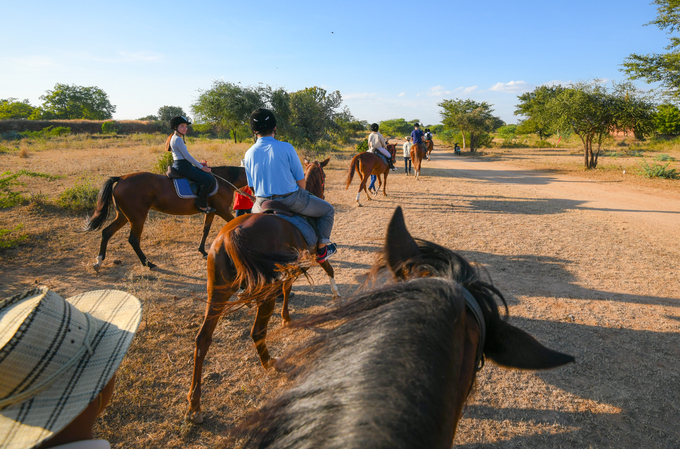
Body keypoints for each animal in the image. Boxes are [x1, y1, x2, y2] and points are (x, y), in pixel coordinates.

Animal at [83, 164, 246, 270]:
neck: (224, 180)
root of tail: (121, 178)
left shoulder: (212, 211)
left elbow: (205, 230)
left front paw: (203, 251)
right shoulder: (222, 210)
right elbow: (234, 224)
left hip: (123, 216)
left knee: (107, 232)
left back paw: (99, 261)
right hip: (137, 217)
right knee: (133, 240)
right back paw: (148, 263)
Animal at [186, 156, 340, 422]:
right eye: (323, 175)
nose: (323, 190)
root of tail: (231, 235)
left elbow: (288, 290)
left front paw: (286, 317)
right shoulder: (313, 253)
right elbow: (326, 268)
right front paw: (336, 294)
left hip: (217, 292)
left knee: (202, 339)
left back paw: (195, 404)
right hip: (264, 291)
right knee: (257, 332)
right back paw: (270, 362)